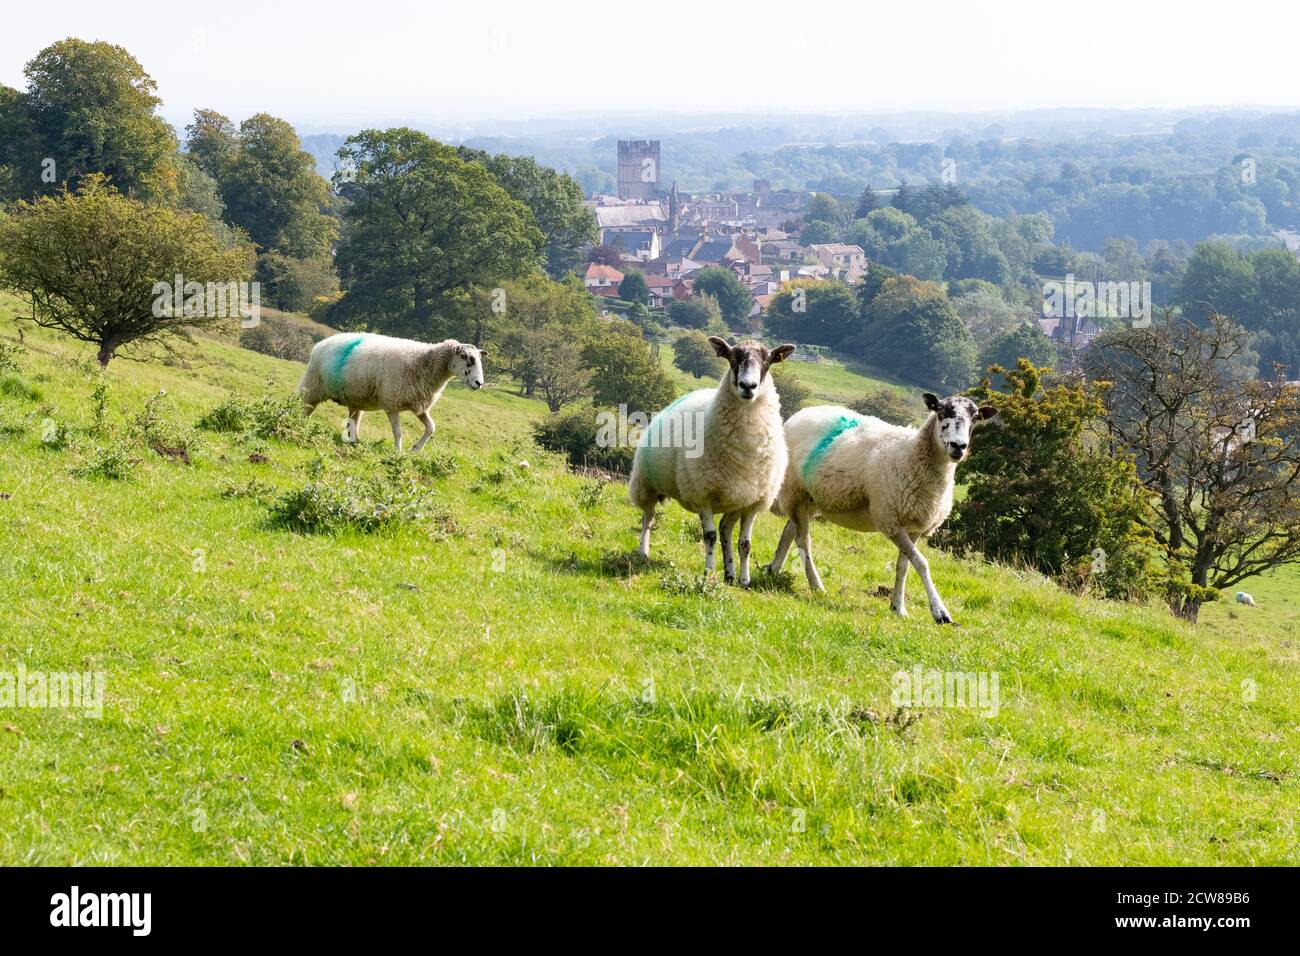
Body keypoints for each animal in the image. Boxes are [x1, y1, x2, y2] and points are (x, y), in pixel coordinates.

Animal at [297, 332, 486, 452]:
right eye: (465, 357)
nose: (479, 383)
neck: (423, 363)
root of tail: (322, 342)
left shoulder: (420, 406)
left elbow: (431, 428)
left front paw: (416, 449)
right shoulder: (392, 405)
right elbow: (398, 432)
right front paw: (398, 451)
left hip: (355, 397)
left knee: (354, 419)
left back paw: (354, 441)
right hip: (312, 385)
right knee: (304, 407)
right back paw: (297, 423)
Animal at [769, 392, 993, 624]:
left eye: (975, 418)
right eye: (940, 411)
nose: (959, 446)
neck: (911, 453)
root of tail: (801, 414)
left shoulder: (915, 527)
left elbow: (904, 565)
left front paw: (898, 607)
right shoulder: (890, 520)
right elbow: (921, 562)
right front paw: (940, 612)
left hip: (812, 498)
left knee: (790, 529)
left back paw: (774, 568)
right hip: (795, 490)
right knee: (803, 540)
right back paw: (816, 585)